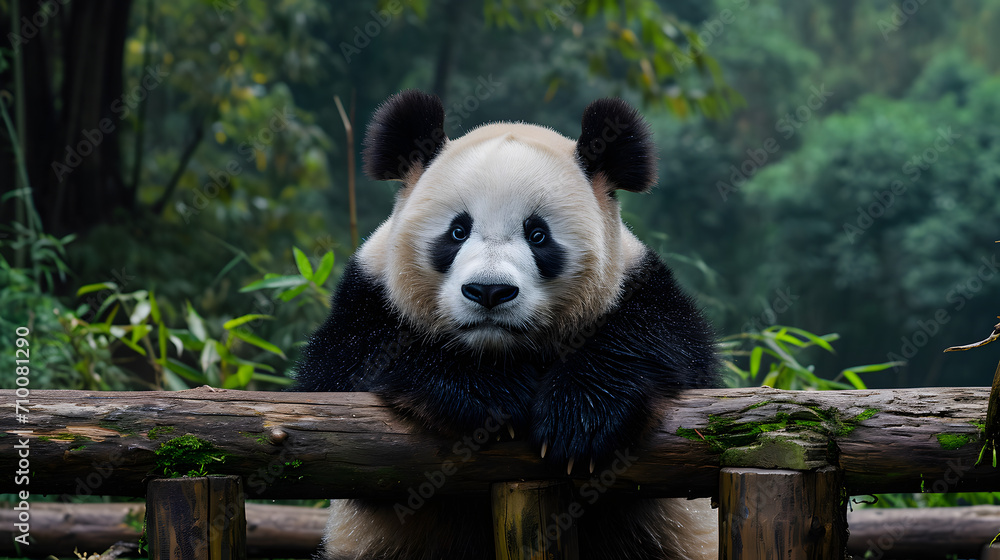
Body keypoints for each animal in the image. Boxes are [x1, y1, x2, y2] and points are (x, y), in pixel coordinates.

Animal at [294, 89, 719, 560]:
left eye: (538, 235)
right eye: (458, 231)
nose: (489, 291)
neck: (499, 349)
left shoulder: (638, 285)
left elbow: (663, 348)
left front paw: (578, 421)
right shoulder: (367, 295)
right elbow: (341, 376)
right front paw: (489, 396)